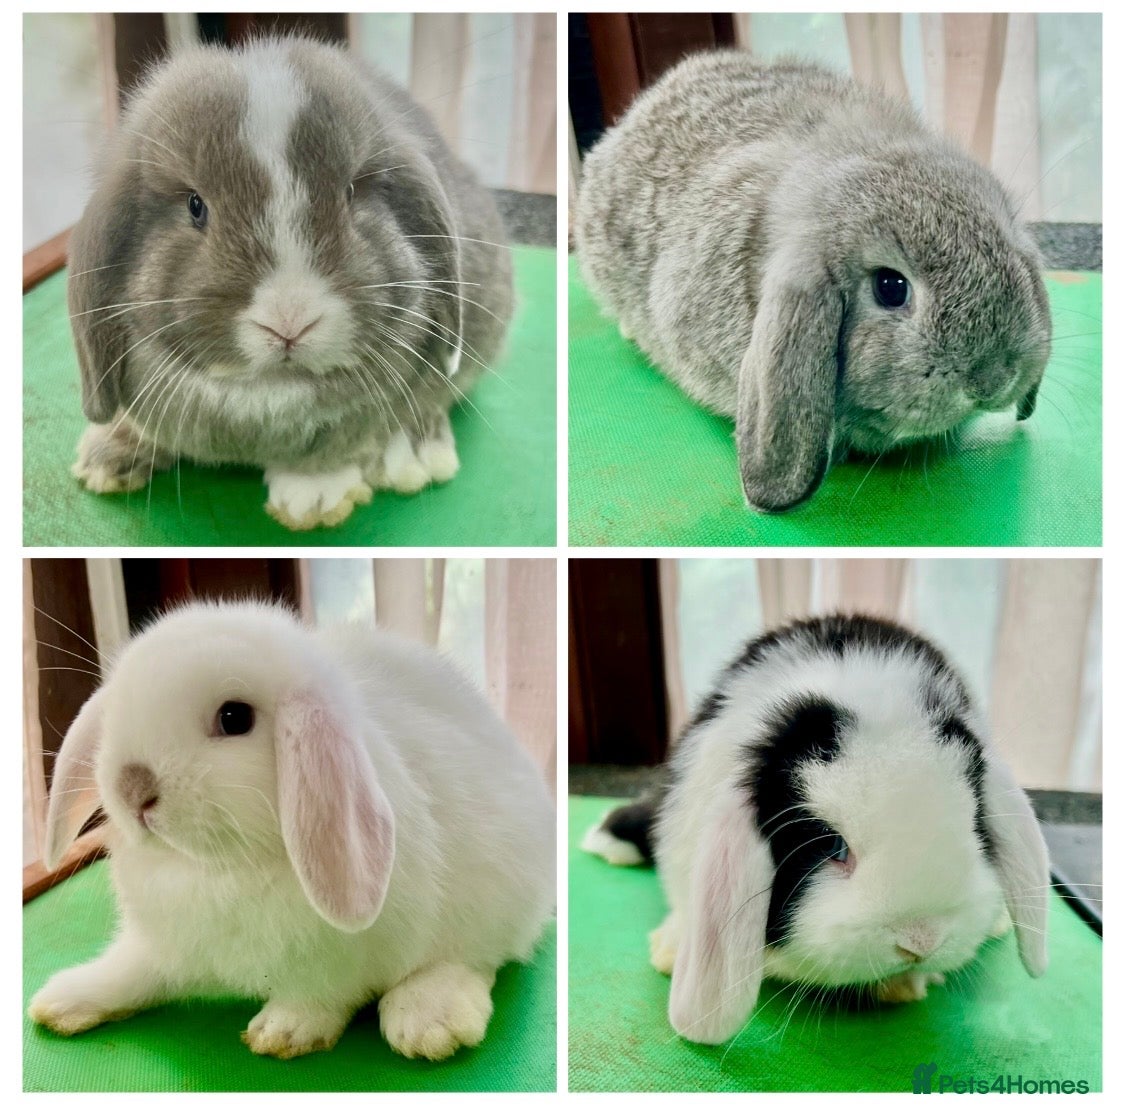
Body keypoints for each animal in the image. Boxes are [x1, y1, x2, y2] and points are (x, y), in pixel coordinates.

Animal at [29, 601, 554, 1060]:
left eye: (234, 717)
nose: (132, 786)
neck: (216, 867)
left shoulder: (335, 962)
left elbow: (320, 996)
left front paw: (283, 1031)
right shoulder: (160, 943)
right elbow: (129, 972)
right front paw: (62, 1000)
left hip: (497, 896)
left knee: (475, 957)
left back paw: (429, 1020)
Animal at [67, 35, 513, 530]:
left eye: (351, 193)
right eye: (195, 205)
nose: (290, 322)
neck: (267, 395)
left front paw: (312, 502)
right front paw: (106, 456)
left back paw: (419, 454)